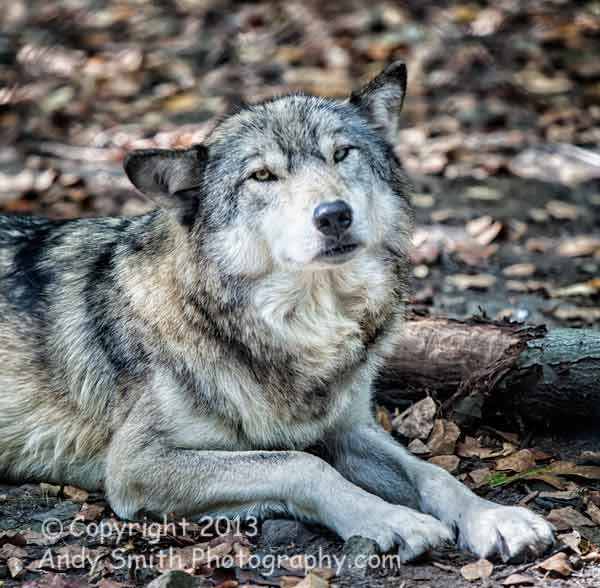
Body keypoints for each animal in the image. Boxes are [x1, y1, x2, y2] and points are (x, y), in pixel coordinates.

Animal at [0, 62, 552, 564]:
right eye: (262, 176)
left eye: (341, 153)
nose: (334, 215)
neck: (301, 329)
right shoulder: (136, 465)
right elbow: (300, 464)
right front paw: (395, 521)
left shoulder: (350, 429)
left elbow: (432, 472)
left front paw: (493, 517)